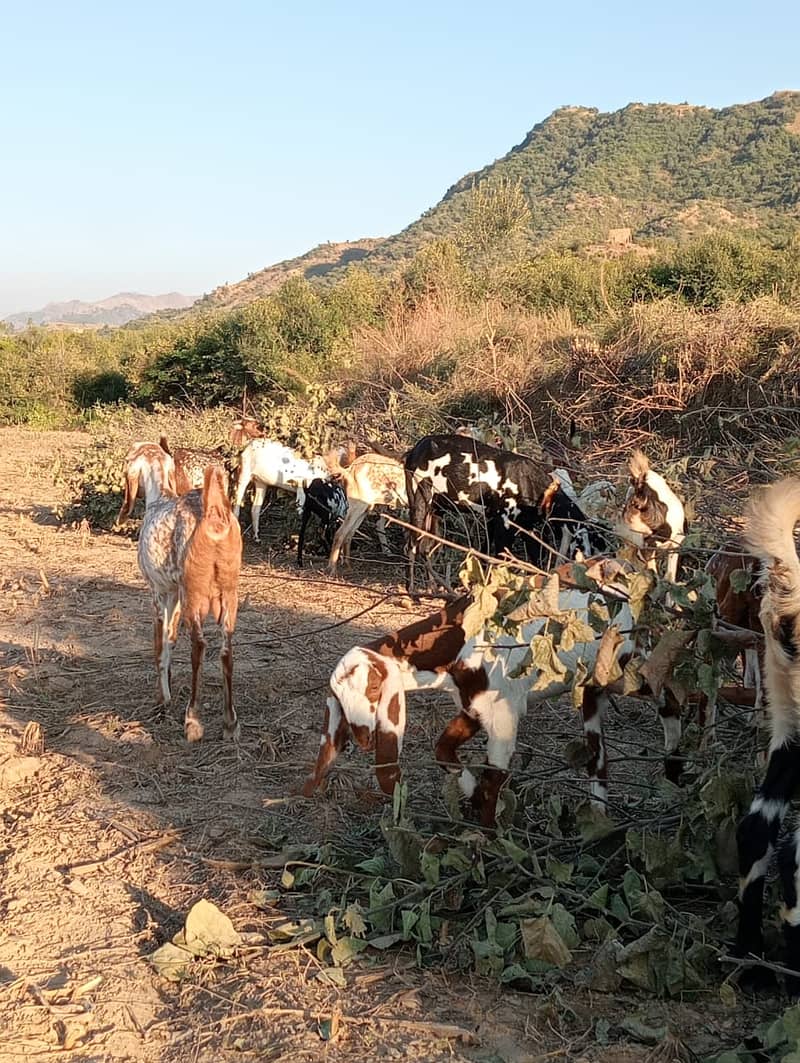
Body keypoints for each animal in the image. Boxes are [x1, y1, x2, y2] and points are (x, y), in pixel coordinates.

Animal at [401, 433, 552, 595]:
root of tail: (413, 453)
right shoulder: (504, 525)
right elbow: (501, 556)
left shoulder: (493, 520)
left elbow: (486, 553)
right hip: (420, 501)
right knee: (412, 546)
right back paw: (411, 588)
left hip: (435, 511)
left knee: (426, 548)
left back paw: (434, 588)